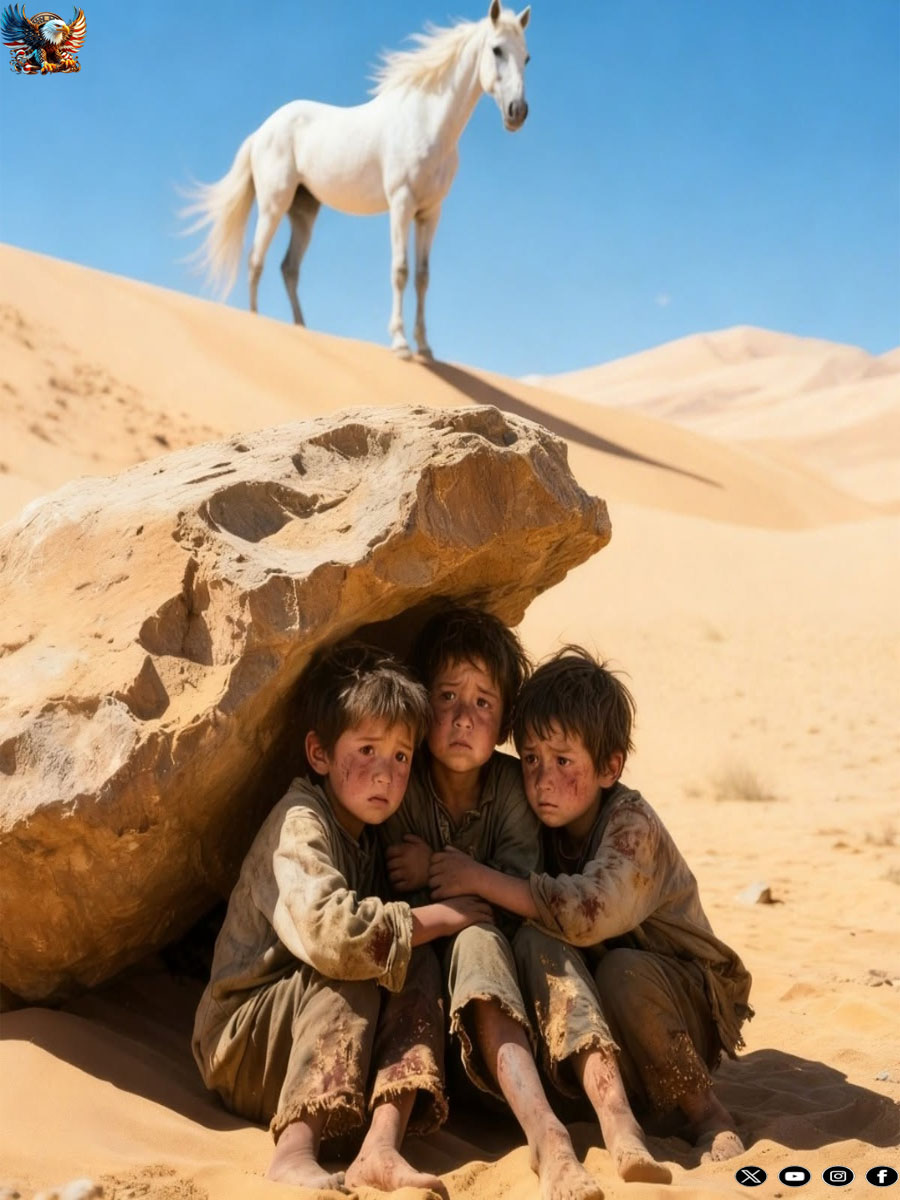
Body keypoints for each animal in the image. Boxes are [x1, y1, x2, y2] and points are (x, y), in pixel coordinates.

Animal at [184, 1, 530, 358]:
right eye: (497, 49)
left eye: (527, 57)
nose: (517, 112)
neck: (426, 121)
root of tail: (261, 132)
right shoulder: (401, 204)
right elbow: (400, 270)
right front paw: (400, 343)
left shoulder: (430, 213)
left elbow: (423, 277)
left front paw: (425, 348)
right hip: (273, 206)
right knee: (256, 260)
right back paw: (257, 322)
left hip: (304, 212)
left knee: (288, 268)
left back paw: (301, 328)